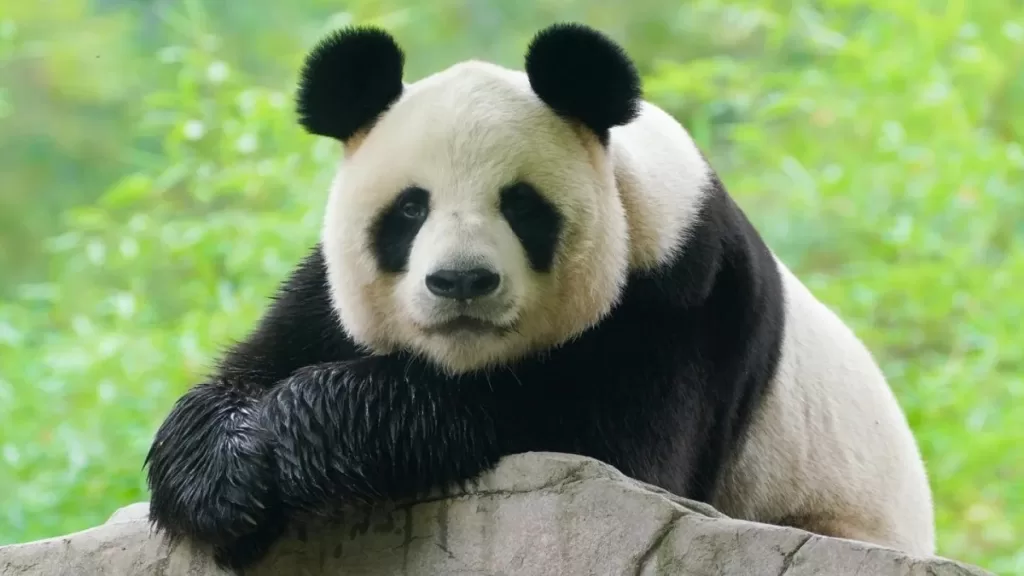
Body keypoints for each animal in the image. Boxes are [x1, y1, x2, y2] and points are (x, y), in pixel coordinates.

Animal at [144, 22, 936, 570]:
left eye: (521, 206)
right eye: (410, 209)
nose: (462, 281)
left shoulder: (684, 296)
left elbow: (591, 442)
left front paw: (310, 426)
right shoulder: (324, 299)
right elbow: (244, 374)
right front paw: (224, 476)